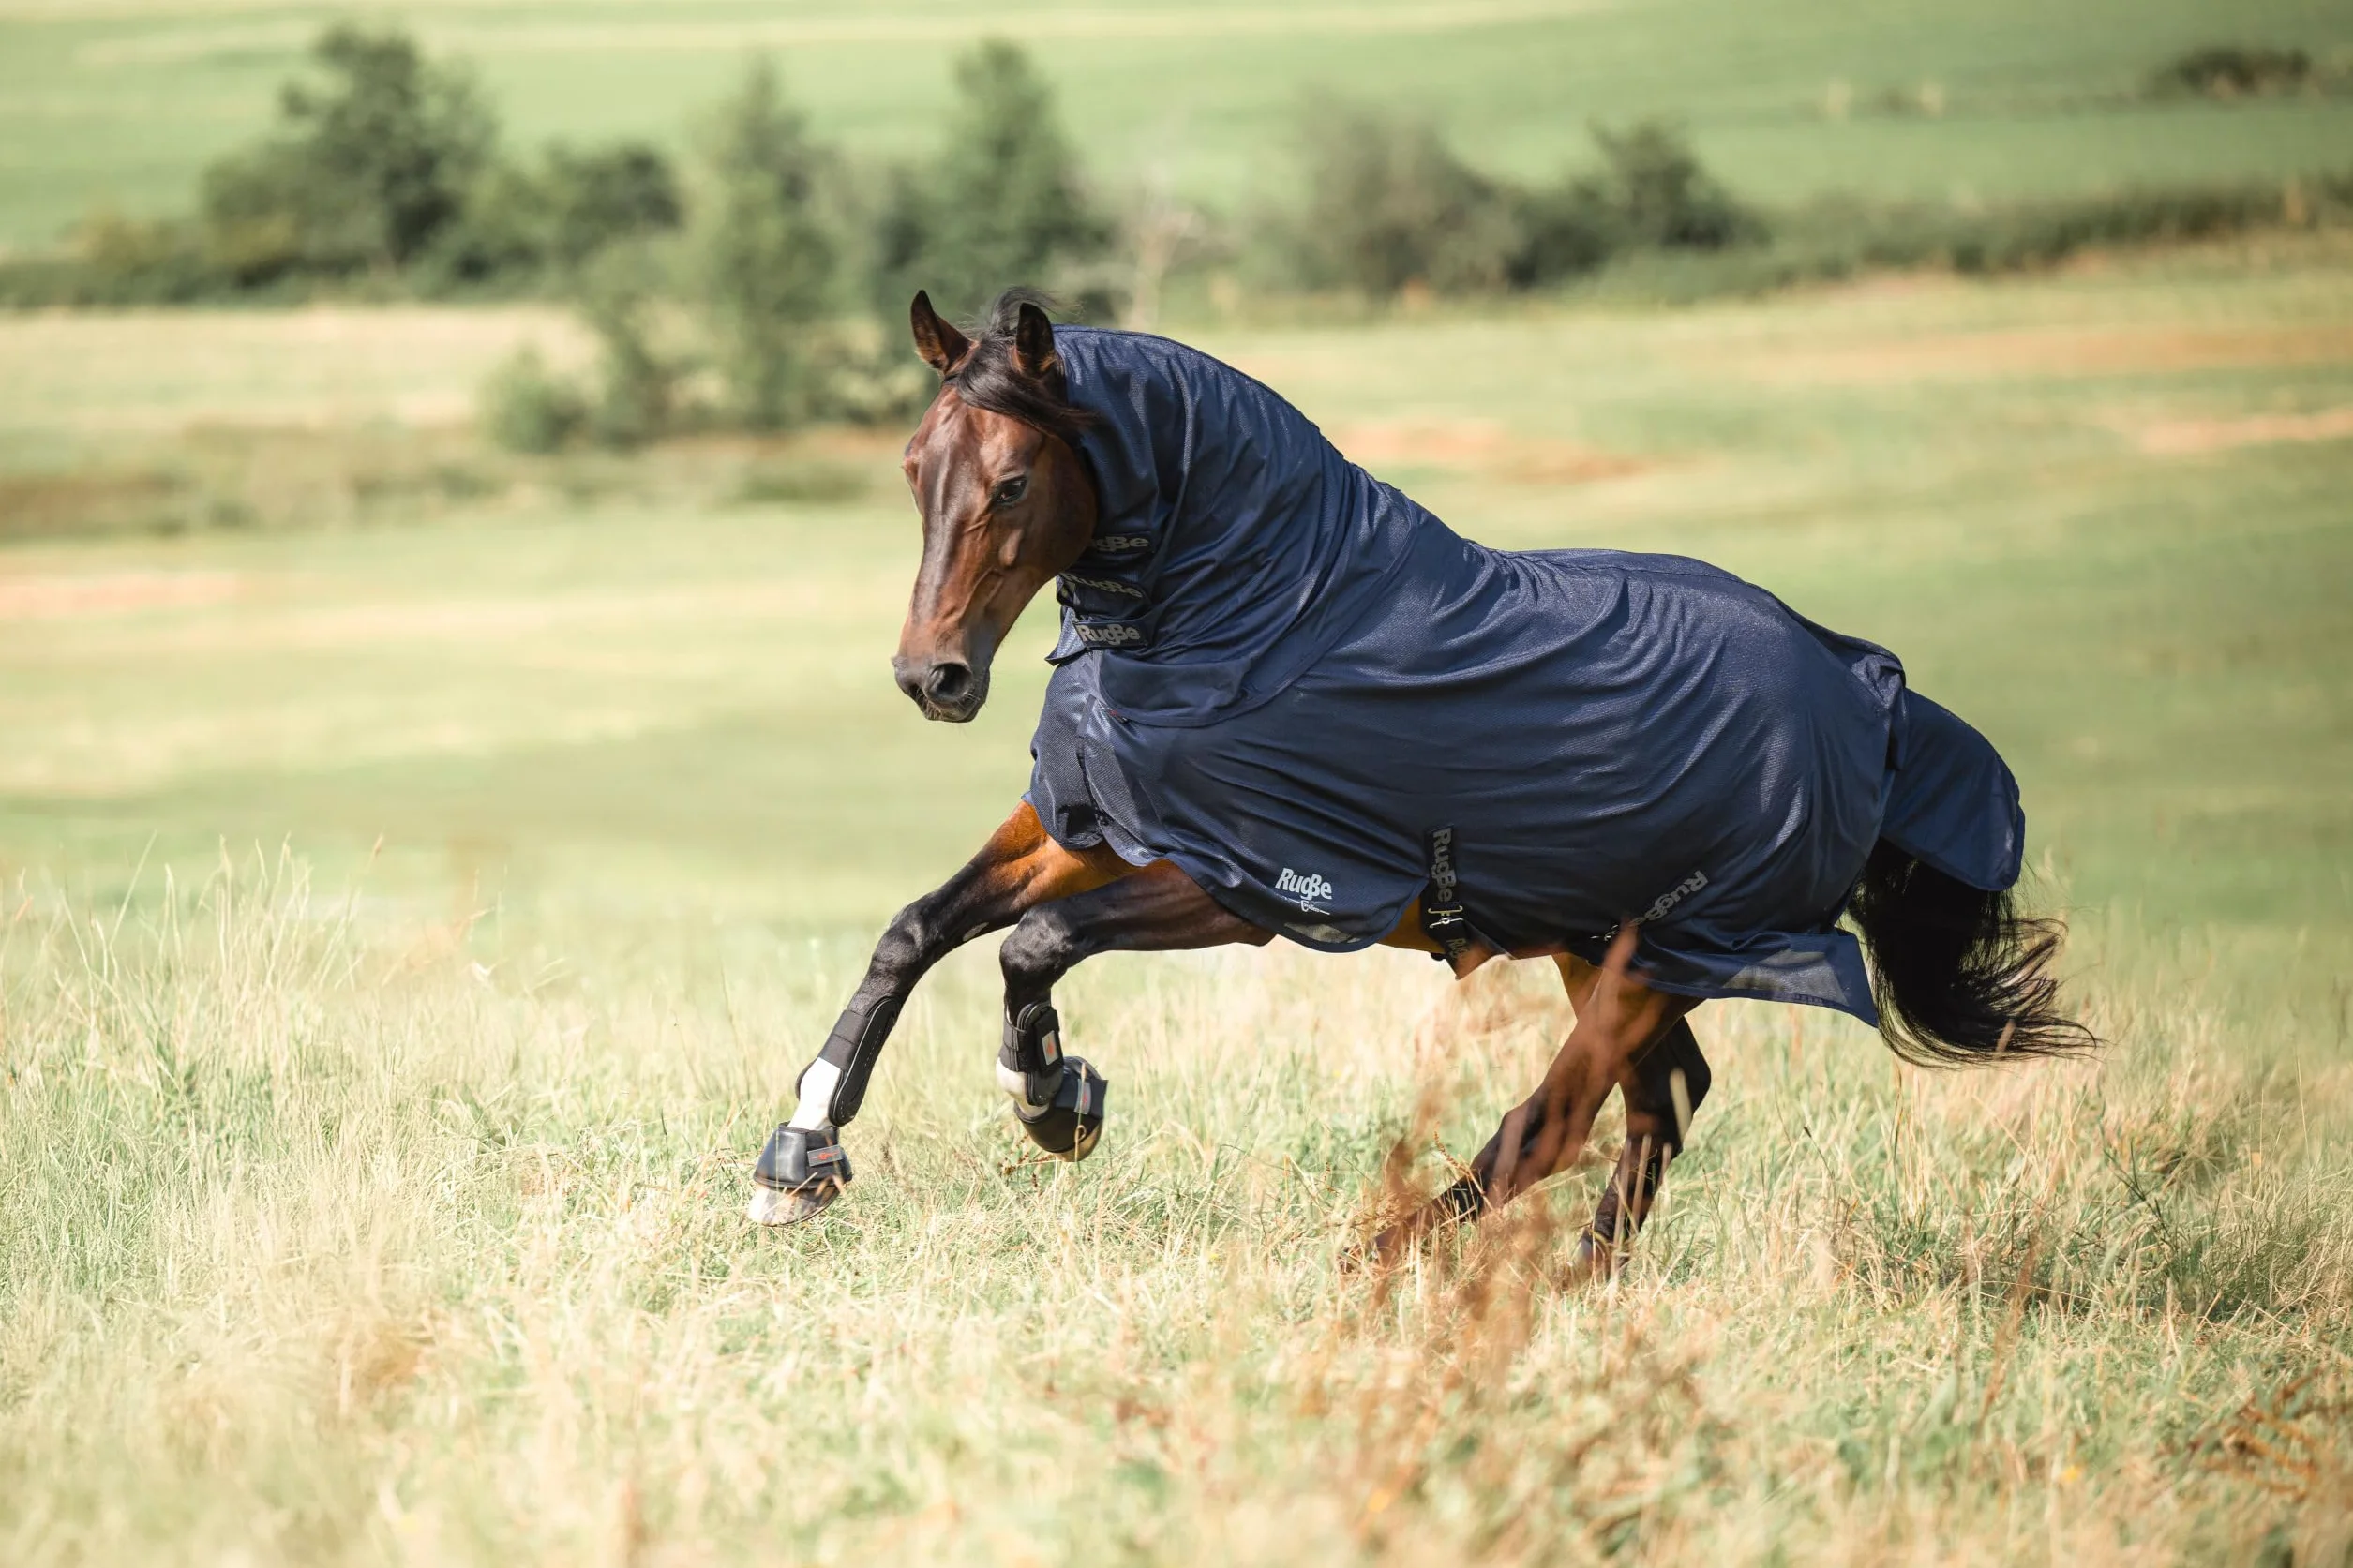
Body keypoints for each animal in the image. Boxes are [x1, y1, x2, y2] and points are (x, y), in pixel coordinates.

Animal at [746, 288, 2094, 1270]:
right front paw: (798, 1158)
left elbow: (1029, 946)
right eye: (912, 469)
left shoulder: (1251, 888)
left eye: (1015, 480)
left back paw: (1381, 1262)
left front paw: (1053, 1100)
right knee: (1658, 1107)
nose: (932, 675)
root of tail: (1862, 694)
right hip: (1605, 942)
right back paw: (1577, 1288)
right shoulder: (1100, 824)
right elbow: (917, 930)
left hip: (1662, 954)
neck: (1257, 613)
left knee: (1555, 1120)